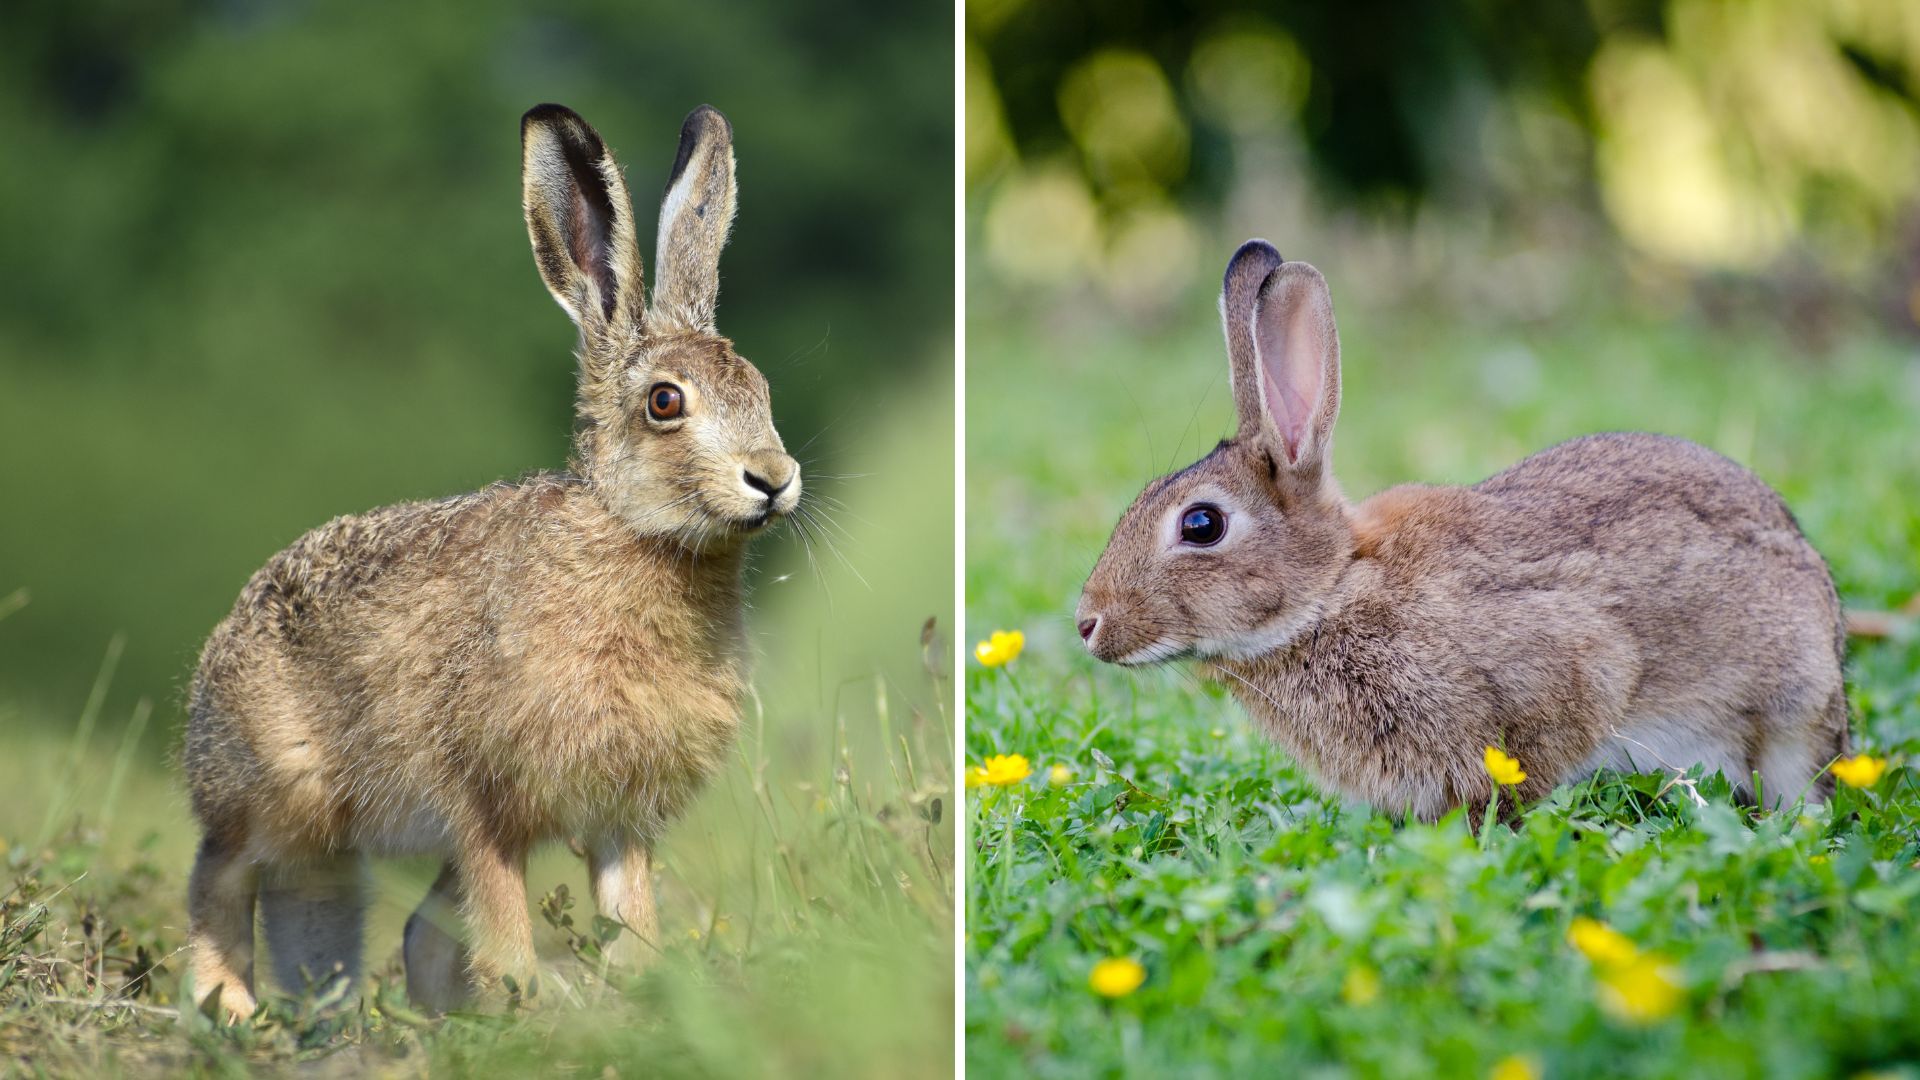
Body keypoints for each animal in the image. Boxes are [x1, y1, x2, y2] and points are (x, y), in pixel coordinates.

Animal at [176, 102, 798, 1014]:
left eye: (760, 391)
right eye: (664, 402)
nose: (774, 479)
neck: (629, 533)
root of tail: (216, 657)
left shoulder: (619, 818)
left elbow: (629, 917)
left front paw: (640, 996)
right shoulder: (486, 806)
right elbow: (505, 933)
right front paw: (531, 1006)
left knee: (351, 909)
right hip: (280, 789)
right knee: (220, 875)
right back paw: (232, 1010)